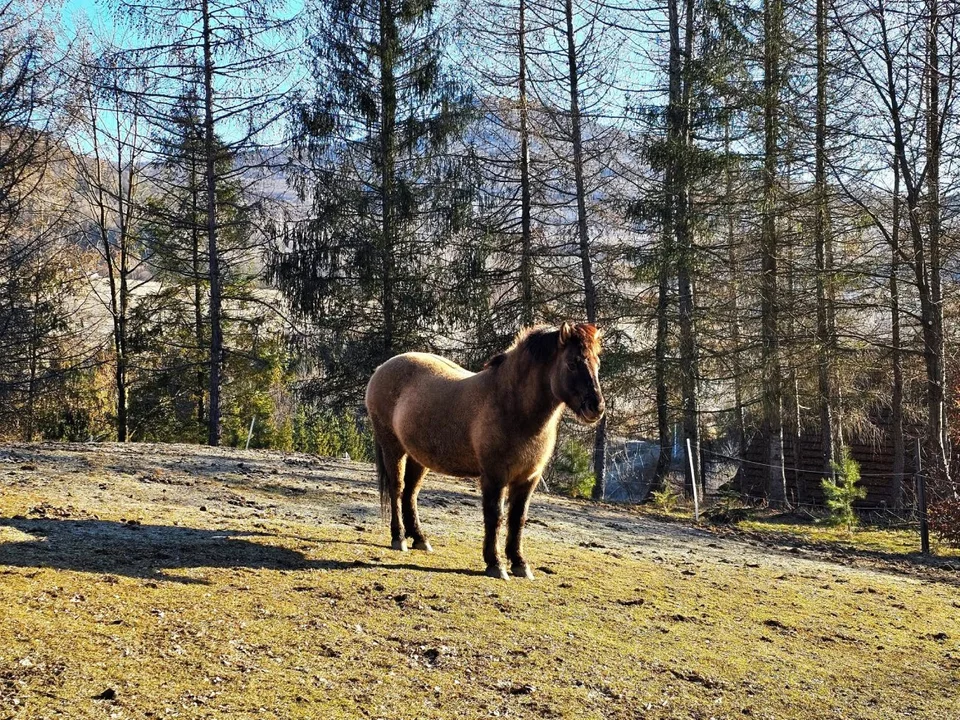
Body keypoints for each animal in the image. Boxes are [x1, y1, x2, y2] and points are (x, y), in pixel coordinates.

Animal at [364, 320, 604, 580]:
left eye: (597, 363)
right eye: (572, 363)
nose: (596, 407)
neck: (512, 406)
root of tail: (382, 368)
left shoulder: (528, 478)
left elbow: (517, 518)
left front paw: (520, 564)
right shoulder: (494, 475)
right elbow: (495, 516)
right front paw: (495, 564)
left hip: (419, 458)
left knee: (410, 492)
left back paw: (420, 539)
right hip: (392, 447)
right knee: (397, 489)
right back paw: (399, 538)